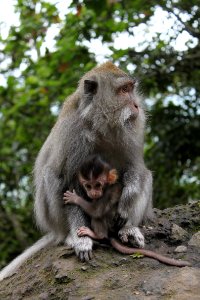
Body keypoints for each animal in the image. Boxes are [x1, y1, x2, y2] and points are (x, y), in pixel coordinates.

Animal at [0, 62, 154, 280]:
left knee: (145, 176)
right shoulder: (73, 135)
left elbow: (135, 169)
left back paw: (128, 229)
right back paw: (69, 236)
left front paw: (126, 204)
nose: (136, 106)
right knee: (51, 177)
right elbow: (68, 183)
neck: (99, 124)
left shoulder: (132, 132)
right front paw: (80, 240)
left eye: (131, 89)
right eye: (124, 90)